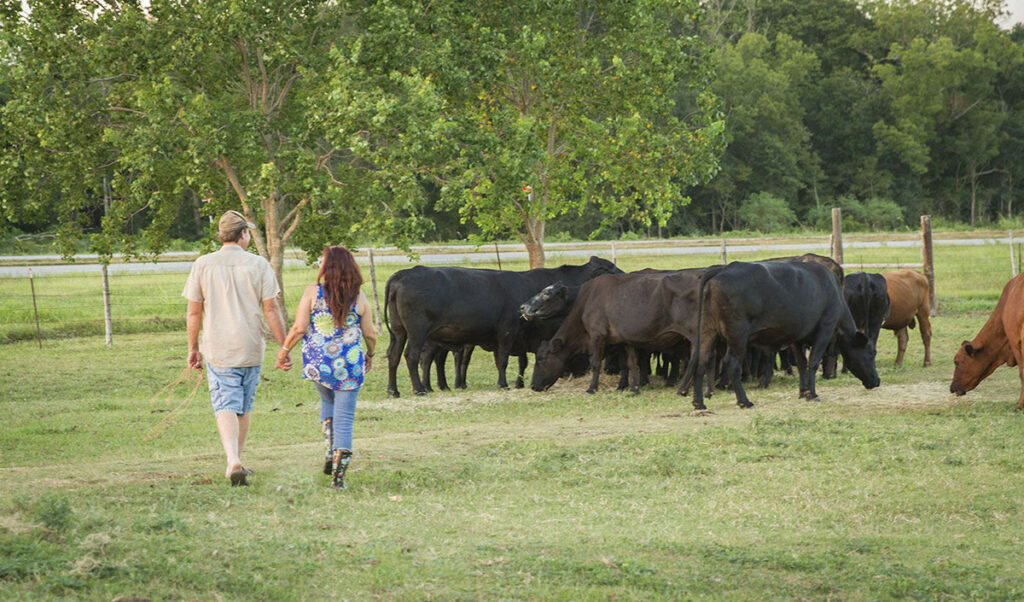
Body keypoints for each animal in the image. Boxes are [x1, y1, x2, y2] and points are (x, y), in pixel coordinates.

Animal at [385, 255, 618, 397]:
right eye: (611, 268)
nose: (624, 274)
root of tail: (404, 273)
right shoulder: (507, 330)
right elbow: (504, 360)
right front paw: (504, 384)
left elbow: (516, 360)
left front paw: (518, 382)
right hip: (417, 333)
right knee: (412, 356)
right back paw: (420, 389)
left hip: (399, 331)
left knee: (394, 355)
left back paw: (393, 391)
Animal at [528, 268, 704, 395]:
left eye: (541, 359)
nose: (533, 386)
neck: (587, 300)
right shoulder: (626, 340)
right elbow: (631, 363)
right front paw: (633, 389)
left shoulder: (597, 335)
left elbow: (596, 363)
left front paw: (591, 389)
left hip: (693, 332)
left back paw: (683, 388)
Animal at [679, 260, 880, 409]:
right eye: (871, 354)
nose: (877, 381)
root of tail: (723, 268)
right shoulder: (825, 329)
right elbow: (813, 362)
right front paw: (813, 394)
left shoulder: (798, 338)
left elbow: (802, 363)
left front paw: (803, 392)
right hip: (737, 335)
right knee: (732, 364)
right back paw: (744, 401)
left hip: (708, 331)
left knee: (702, 361)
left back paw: (699, 403)